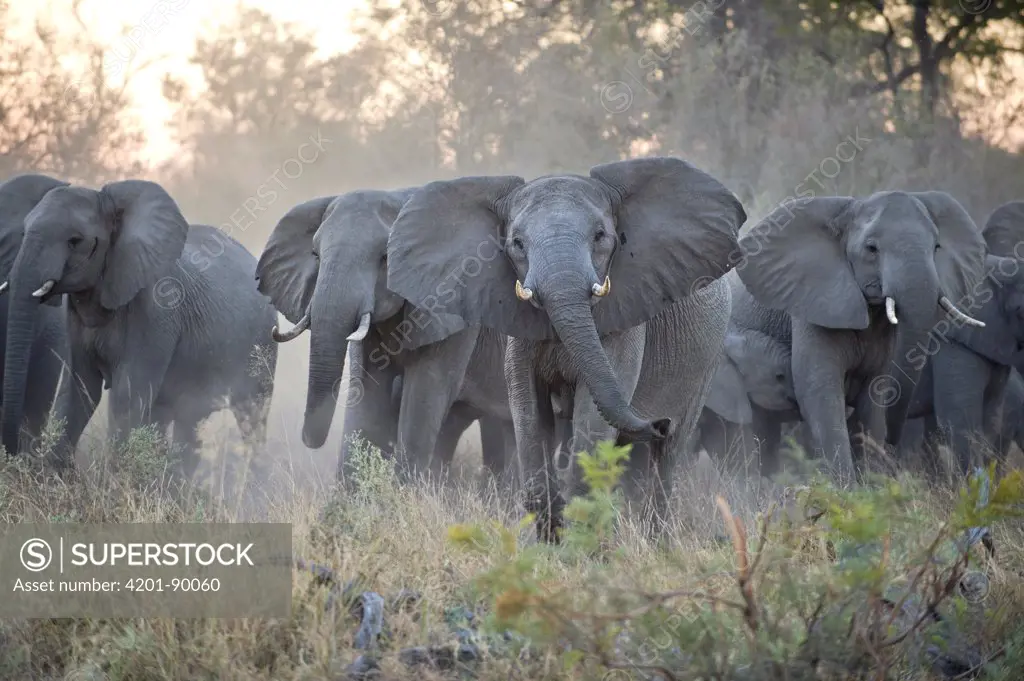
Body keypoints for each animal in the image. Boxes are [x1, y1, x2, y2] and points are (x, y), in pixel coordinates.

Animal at [385, 155, 745, 536]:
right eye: (517, 243)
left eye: (601, 236)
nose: (656, 422)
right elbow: (527, 402)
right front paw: (548, 540)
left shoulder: (625, 318)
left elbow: (594, 415)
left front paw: (576, 540)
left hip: (708, 359)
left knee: (668, 455)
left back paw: (654, 534)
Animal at [733, 188, 987, 481]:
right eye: (871, 249)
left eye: (936, 248)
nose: (892, 442)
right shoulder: (815, 304)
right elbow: (819, 393)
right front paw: (844, 489)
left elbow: (874, 397)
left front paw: (873, 485)